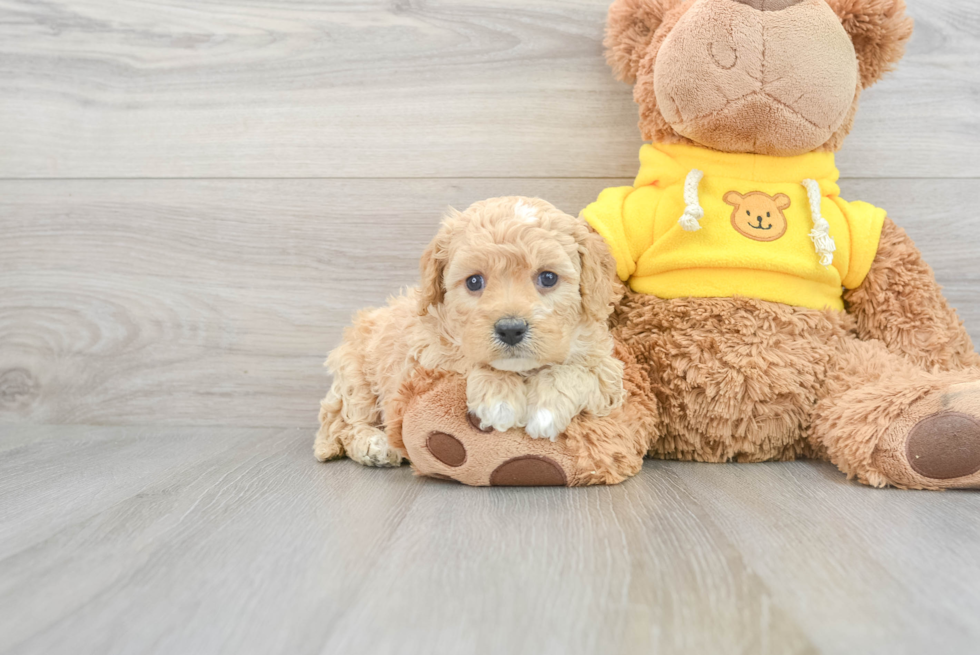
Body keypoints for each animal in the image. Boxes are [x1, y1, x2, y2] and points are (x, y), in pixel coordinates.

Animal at [314, 195, 624, 466]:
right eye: (474, 282)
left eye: (548, 277)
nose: (510, 330)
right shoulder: (426, 358)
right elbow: (469, 360)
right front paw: (499, 399)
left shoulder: (607, 370)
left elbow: (577, 371)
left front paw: (546, 410)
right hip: (355, 376)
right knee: (341, 422)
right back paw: (374, 444)